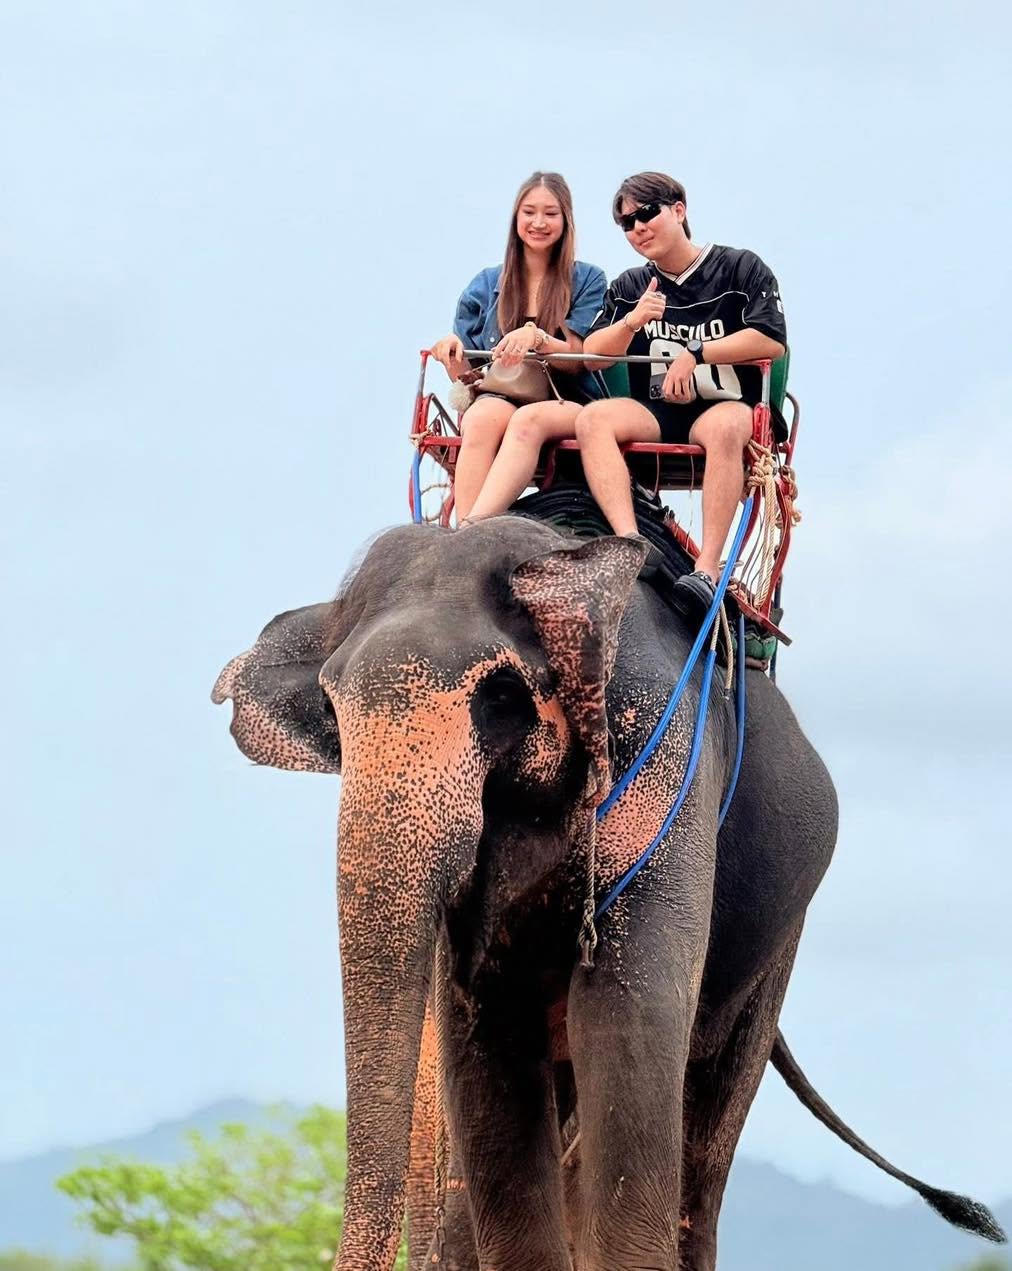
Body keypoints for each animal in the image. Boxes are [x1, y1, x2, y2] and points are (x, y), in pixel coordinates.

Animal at [213, 513, 1004, 1271]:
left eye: (501, 694)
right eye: (330, 709)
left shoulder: (664, 763)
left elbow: (627, 1004)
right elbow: (485, 1030)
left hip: (782, 930)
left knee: (710, 1114)